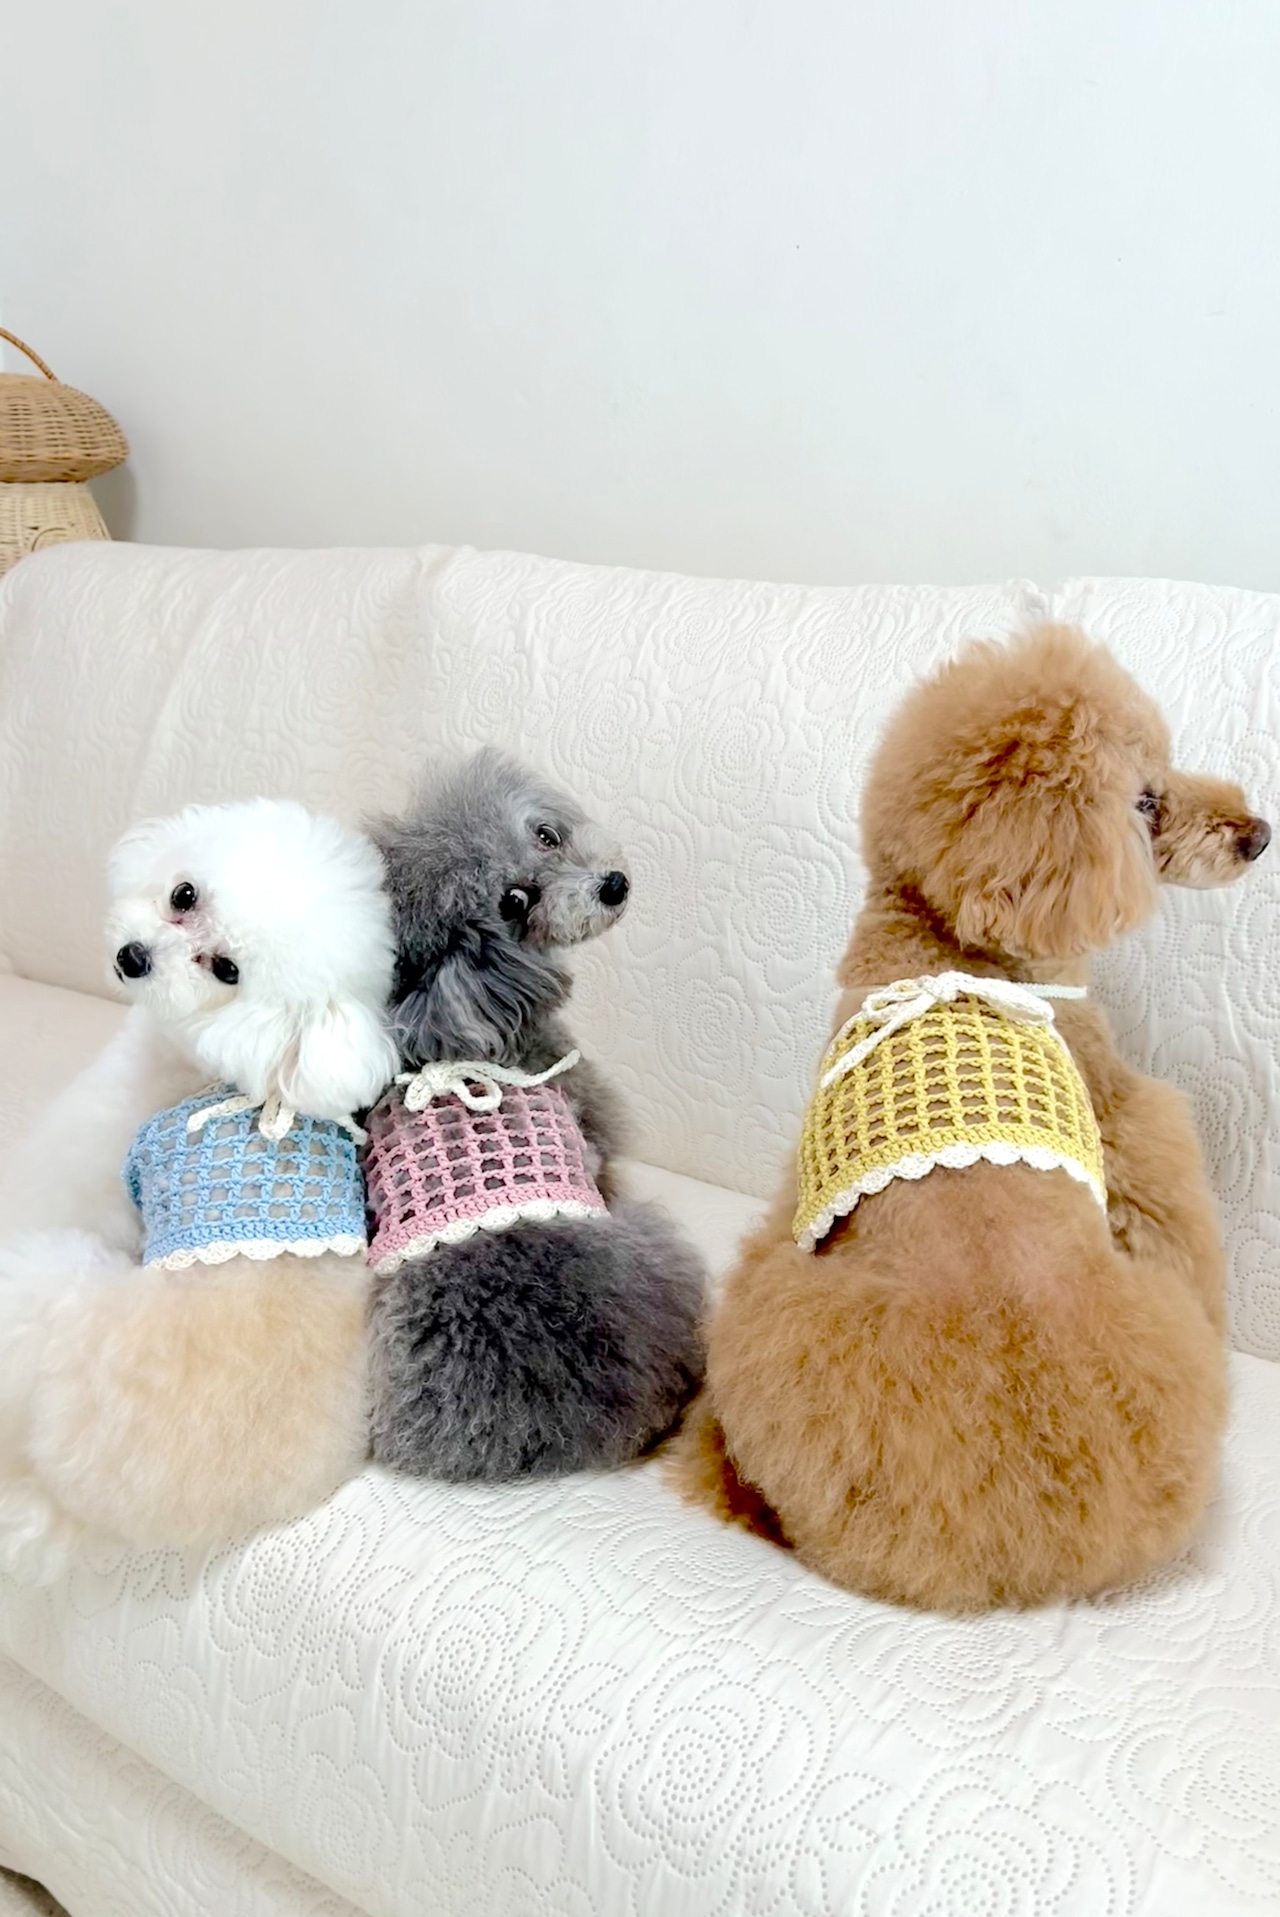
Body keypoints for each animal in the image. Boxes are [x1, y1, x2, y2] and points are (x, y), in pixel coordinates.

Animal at [0, 799, 397, 1575]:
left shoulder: (91, 1151)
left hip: (48, 1280)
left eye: (226, 969)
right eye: (185, 894)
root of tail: (90, 1514)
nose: (134, 958)